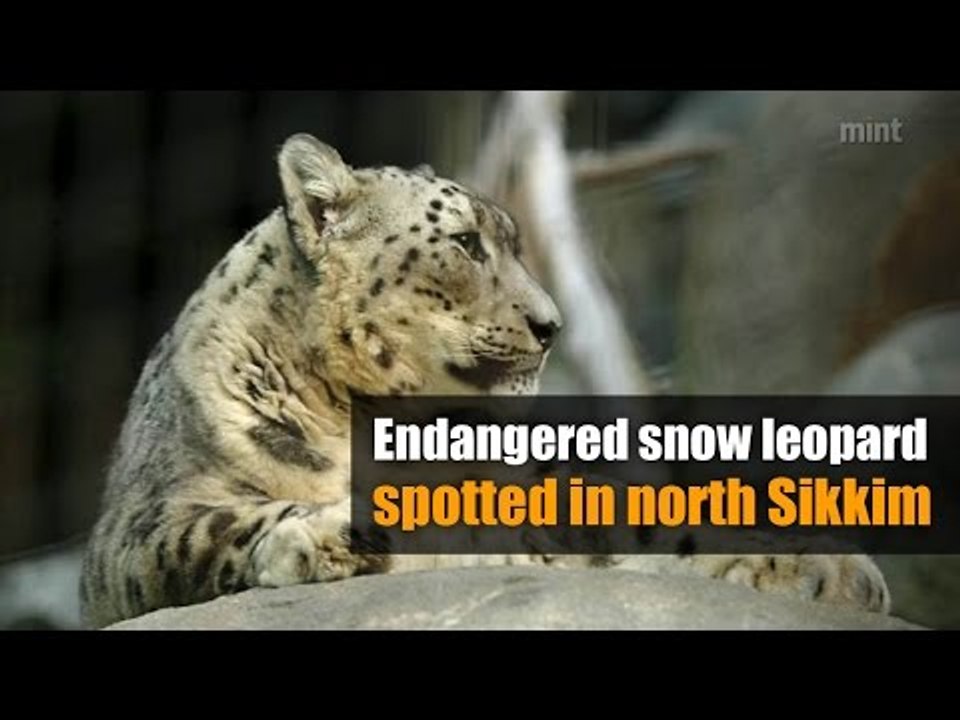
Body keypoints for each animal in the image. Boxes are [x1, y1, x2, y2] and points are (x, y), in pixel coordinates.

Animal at [79, 133, 890, 628]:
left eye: (512, 242)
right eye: (466, 243)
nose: (552, 323)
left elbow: (647, 517)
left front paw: (831, 566)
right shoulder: (140, 525)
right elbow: (213, 527)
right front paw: (331, 536)